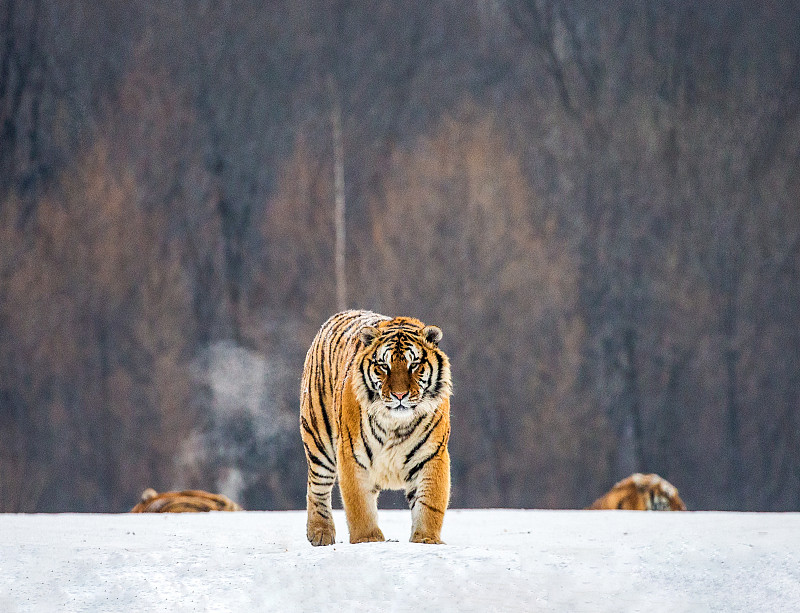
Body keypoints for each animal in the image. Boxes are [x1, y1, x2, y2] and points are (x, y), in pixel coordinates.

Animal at [300, 310, 454, 544]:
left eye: (414, 365)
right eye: (384, 366)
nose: (400, 395)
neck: (396, 423)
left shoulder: (431, 455)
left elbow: (429, 504)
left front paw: (426, 540)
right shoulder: (352, 455)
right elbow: (359, 505)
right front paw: (368, 539)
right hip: (319, 440)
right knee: (317, 486)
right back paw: (320, 533)